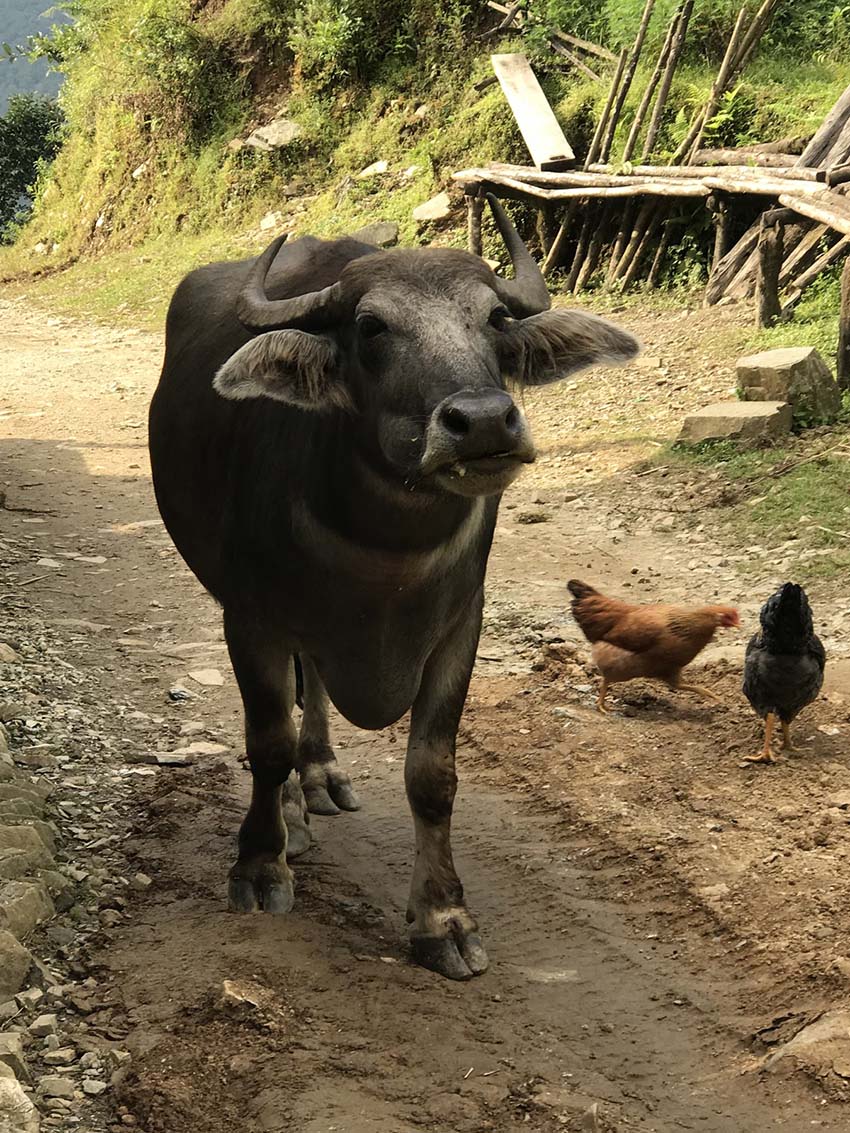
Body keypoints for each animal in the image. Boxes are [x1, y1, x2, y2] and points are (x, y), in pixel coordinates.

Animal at [148, 199, 639, 978]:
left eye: (495, 318)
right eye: (372, 327)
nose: (483, 422)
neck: (386, 552)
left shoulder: (458, 627)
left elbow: (433, 774)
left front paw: (443, 917)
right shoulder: (251, 618)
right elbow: (267, 742)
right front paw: (259, 863)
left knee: (315, 685)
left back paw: (320, 777)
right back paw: (293, 813)